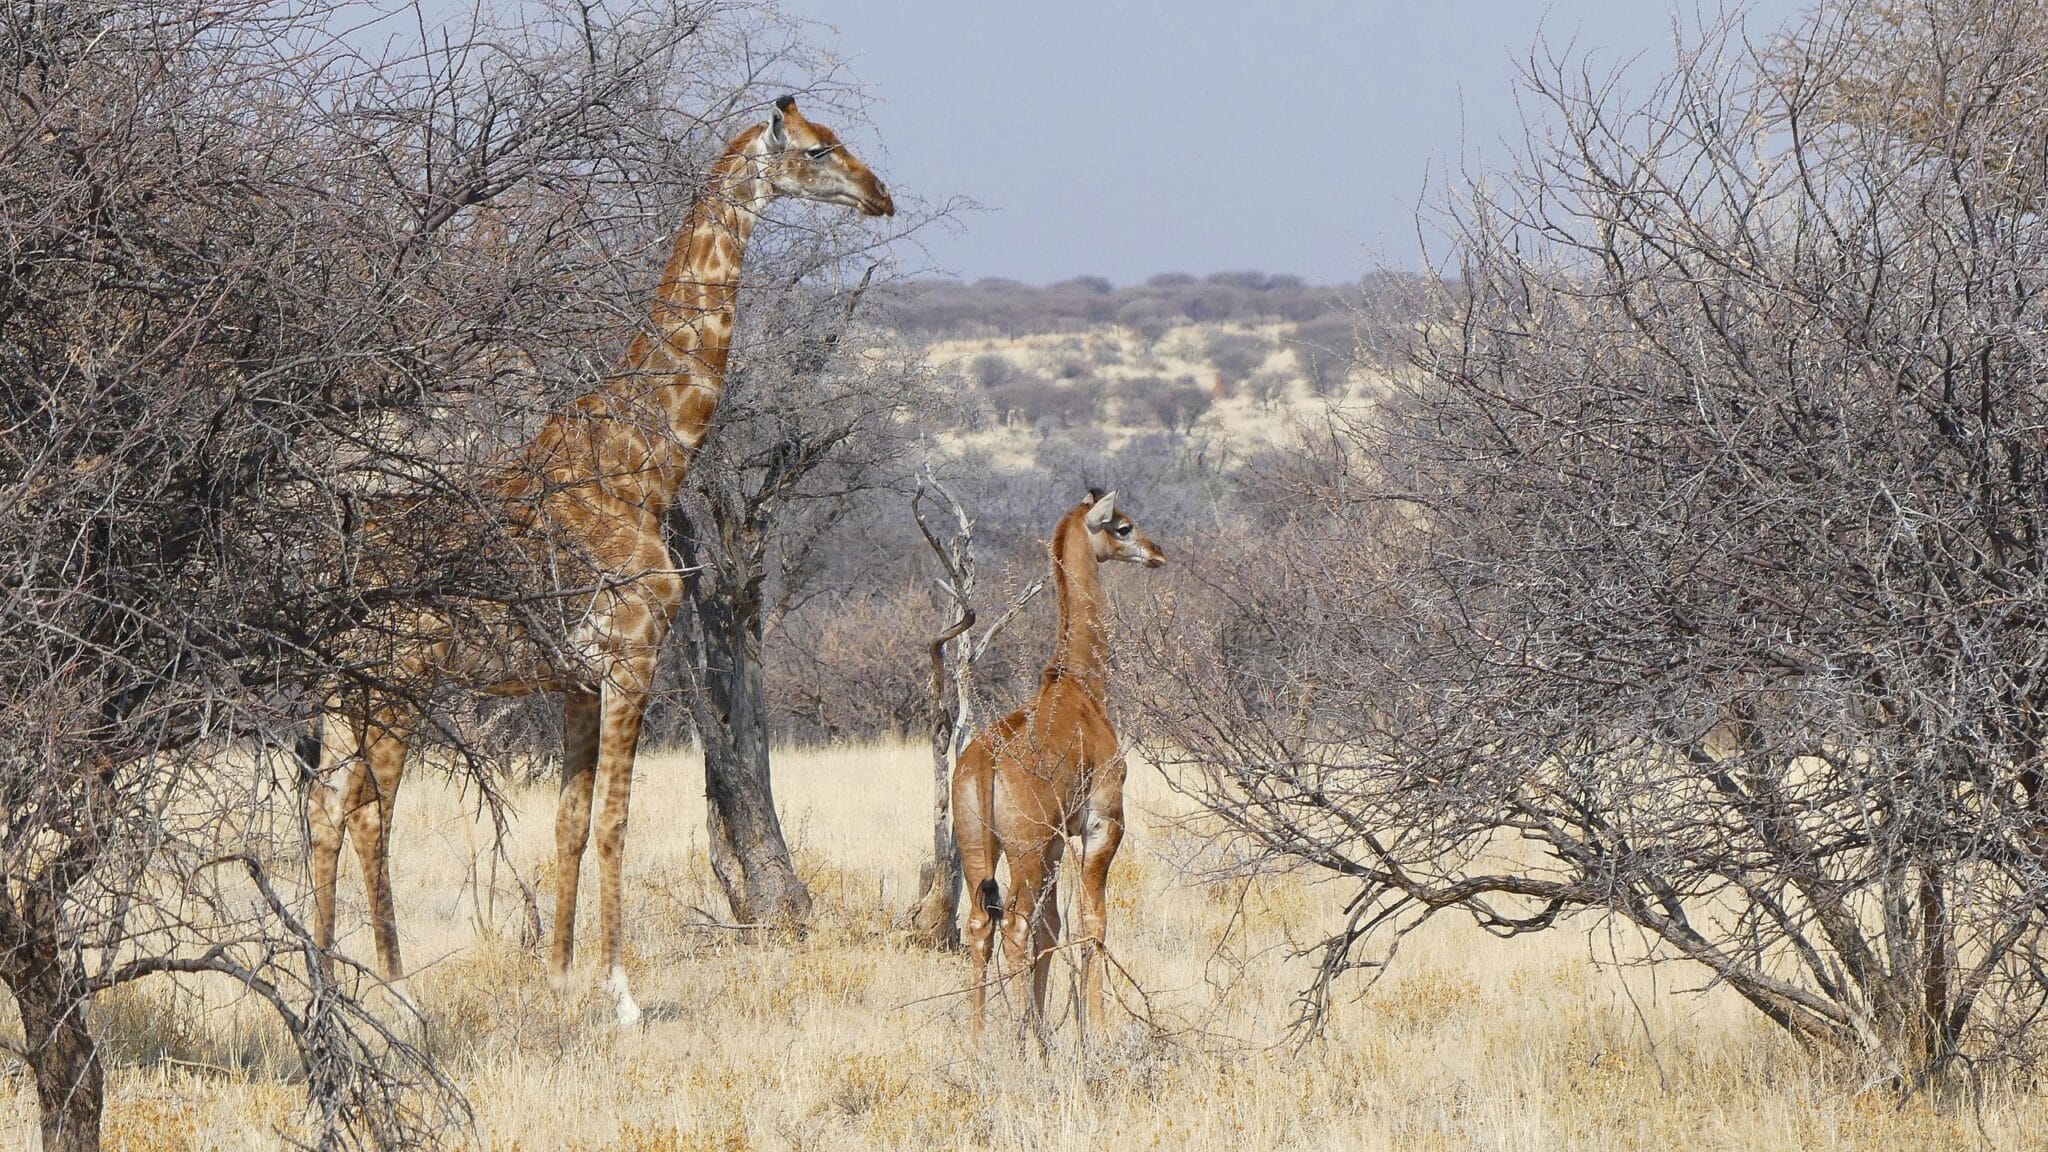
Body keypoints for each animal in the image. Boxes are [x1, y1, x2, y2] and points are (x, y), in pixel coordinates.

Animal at [313, 94, 897, 1020]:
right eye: (817, 150)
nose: (882, 195)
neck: (644, 466)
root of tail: (336, 561)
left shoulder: (578, 680)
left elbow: (570, 821)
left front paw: (557, 979)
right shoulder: (633, 659)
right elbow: (619, 819)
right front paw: (620, 993)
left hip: (346, 684)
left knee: (324, 803)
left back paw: (326, 988)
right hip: (396, 676)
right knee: (366, 808)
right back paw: (396, 995)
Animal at [950, 483, 1163, 1041]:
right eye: (1122, 525)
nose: (1156, 552)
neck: (1080, 685)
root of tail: (985, 764)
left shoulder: (1053, 843)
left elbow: (1054, 928)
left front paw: (1049, 1025)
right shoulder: (1101, 822)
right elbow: (1093, 920)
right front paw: (1097, 1030)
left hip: (982, 843)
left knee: (980, 923)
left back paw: (980, 1041)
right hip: (1024, 847)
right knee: (1015, 924)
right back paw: (1020, 1036)